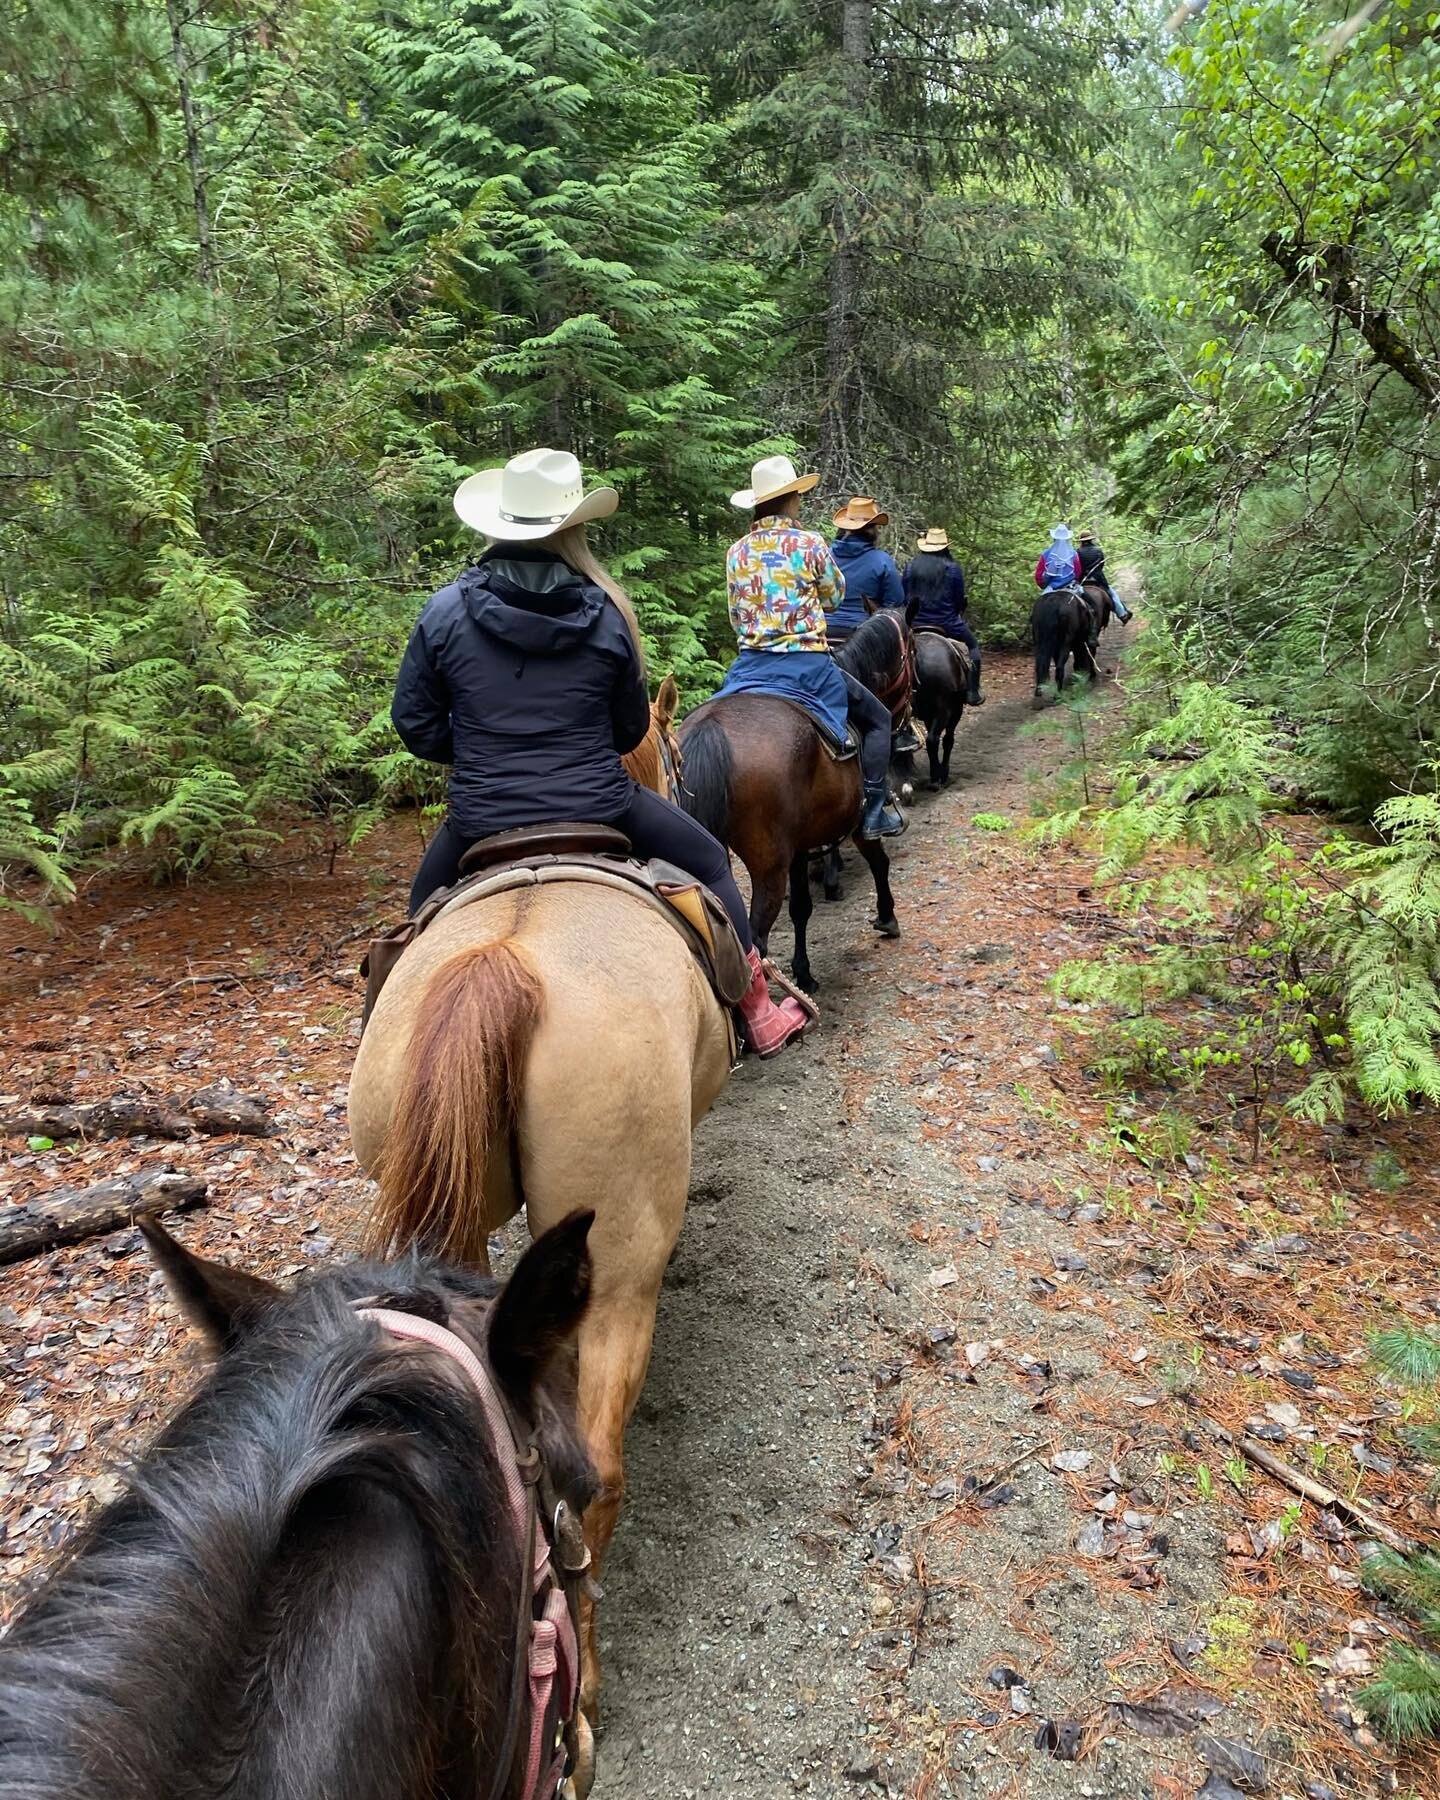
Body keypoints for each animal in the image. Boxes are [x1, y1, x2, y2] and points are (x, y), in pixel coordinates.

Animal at [349, 676, 730, 1785]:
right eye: (671, 756)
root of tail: (503, 962)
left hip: (447, 1215)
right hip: (623, 1269)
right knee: (594, 1475)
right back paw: (587, 1684)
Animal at [676, 608, 910, 1000]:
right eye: (913, 652)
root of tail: (713, 727)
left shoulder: (799, 847)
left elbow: (801, 908)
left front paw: (804, 972)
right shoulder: (858, 824)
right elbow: (880, 861)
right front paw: (887, 916)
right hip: (768, 864)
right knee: (755, 938)